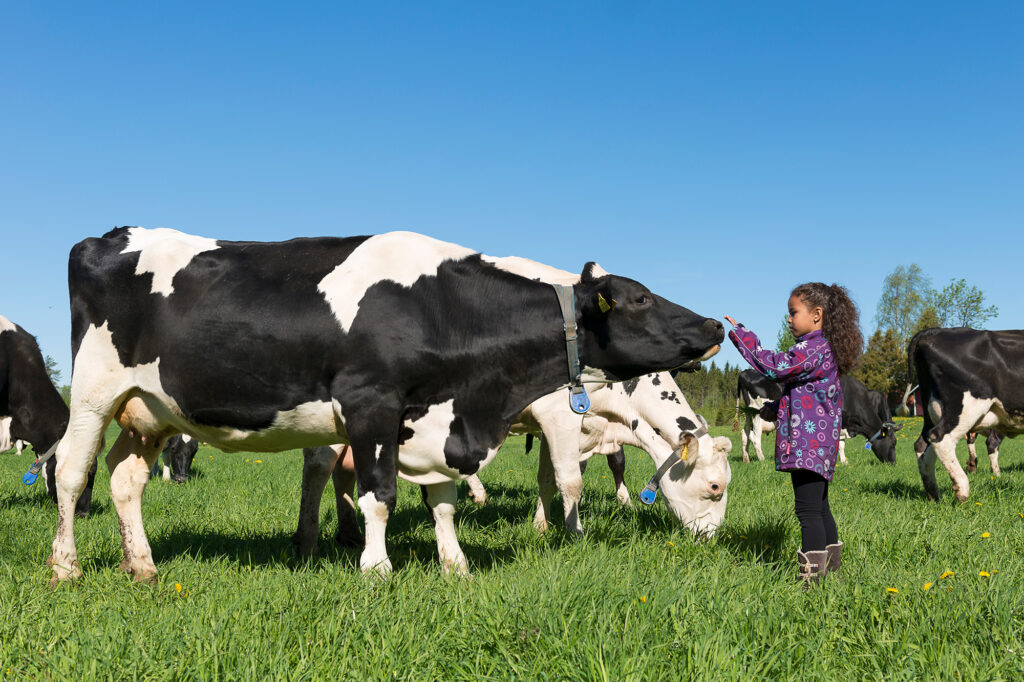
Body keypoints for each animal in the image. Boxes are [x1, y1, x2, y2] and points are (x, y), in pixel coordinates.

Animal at [48, 227, 720, 577]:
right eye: (639, 299)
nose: (716, 324)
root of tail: (108, 237)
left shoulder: (438, 421)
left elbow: (444, 501)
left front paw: (455, 566)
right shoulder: (373, 406)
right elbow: (379, 494)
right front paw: (376, 568)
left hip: (149, 411)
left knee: (125, 479)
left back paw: (142, 566)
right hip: (93, 395)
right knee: (72, 473)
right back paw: (66, 567)